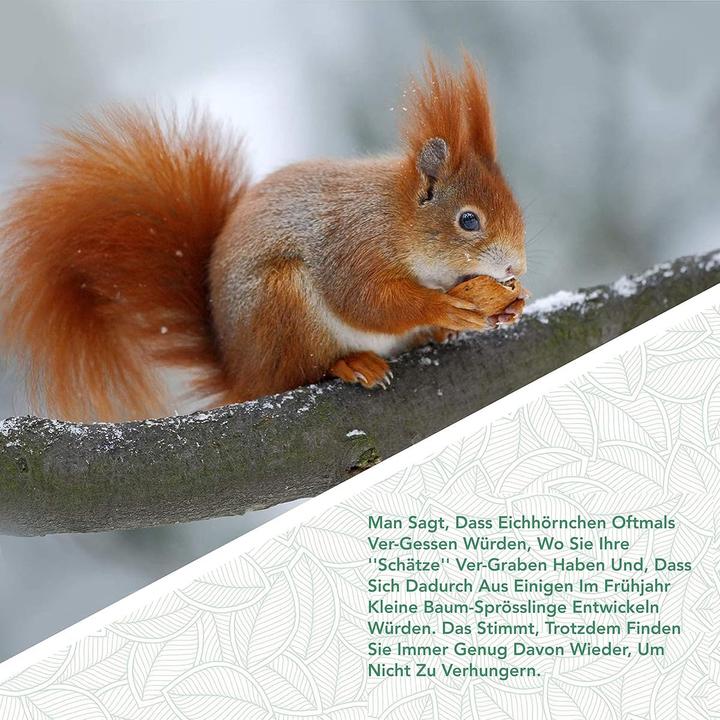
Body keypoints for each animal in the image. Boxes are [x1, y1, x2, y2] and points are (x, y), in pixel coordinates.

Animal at [0, 54, 526, 422]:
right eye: (468, 221)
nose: (515, 269)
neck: (395, 218)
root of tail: (242, 374)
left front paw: (512, 304)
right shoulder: (352, 246)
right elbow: (365, 301)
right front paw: (443, 308)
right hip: (283, 304)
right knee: (300, 372)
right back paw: (354, 364)